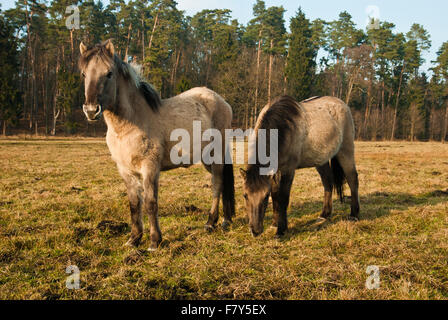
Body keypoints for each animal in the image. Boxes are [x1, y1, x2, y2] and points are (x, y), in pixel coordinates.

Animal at [79, 39, 236, 250]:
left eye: (109, 73)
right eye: (84, 74)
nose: (91, 110)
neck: (129, 124)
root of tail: (222, 102)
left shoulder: (150, 168)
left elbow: (150, 202)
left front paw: (154, 241)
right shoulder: (126, 171)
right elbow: (134, 204)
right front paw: (134, 239)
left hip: (216, 156)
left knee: (217, 185)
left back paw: (211, 223)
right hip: (205, 159)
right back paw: (226, 220)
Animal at [240, 95, 358, 238]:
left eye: (265, 197)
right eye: (245, 195)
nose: (255, 231)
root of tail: (342, 104)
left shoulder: (288, 170)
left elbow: (283, 198)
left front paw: (281, 230)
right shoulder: (274, 172)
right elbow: (276, 196)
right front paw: (274, 224)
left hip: (346, 151)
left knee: (352, 179)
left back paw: (354, 215)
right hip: (321, 160)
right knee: (328, 183)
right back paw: (324, 215)